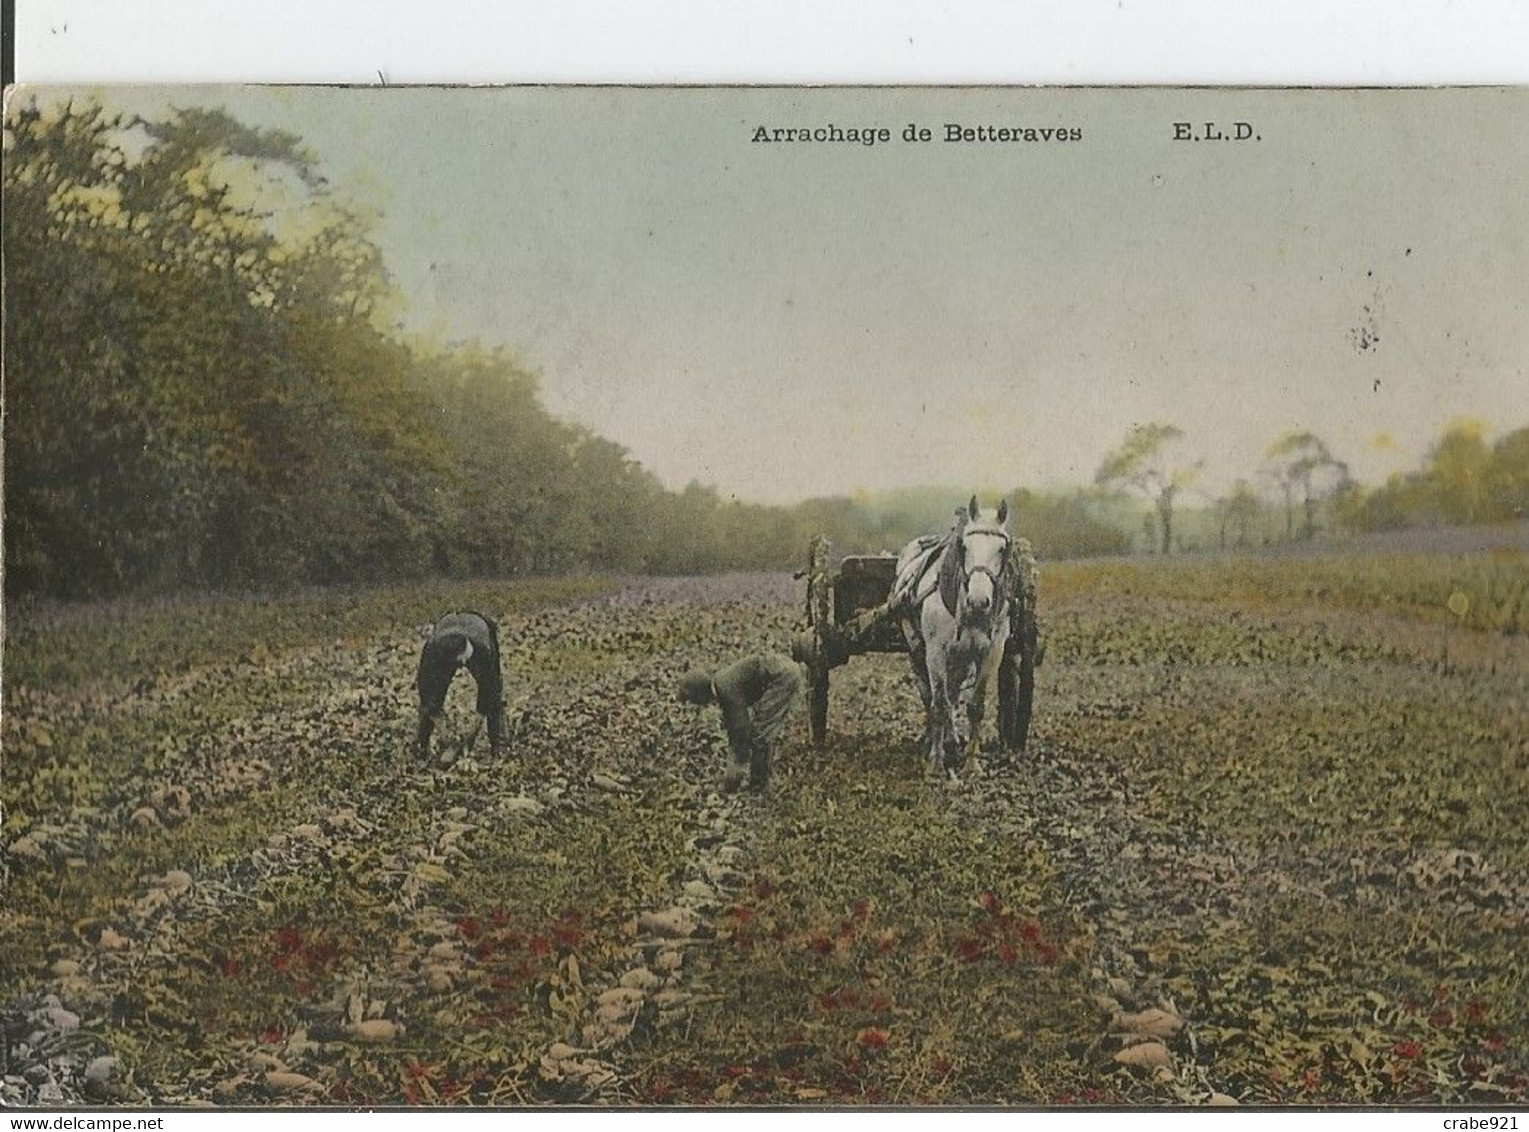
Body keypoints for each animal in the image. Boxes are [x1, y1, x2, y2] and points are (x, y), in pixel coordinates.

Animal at [892, 498, 1009, 777]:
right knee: (931, 698)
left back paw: (952, 741)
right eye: (964, 547)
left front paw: (972, 763)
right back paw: (936, 743)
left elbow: (975, 707)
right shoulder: (936, 653)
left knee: (953, 695)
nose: (978, 601)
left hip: (960, 661)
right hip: (918, 653)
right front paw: (936, 763)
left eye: (1002, 549)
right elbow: (939, 705)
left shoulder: (991, 653)